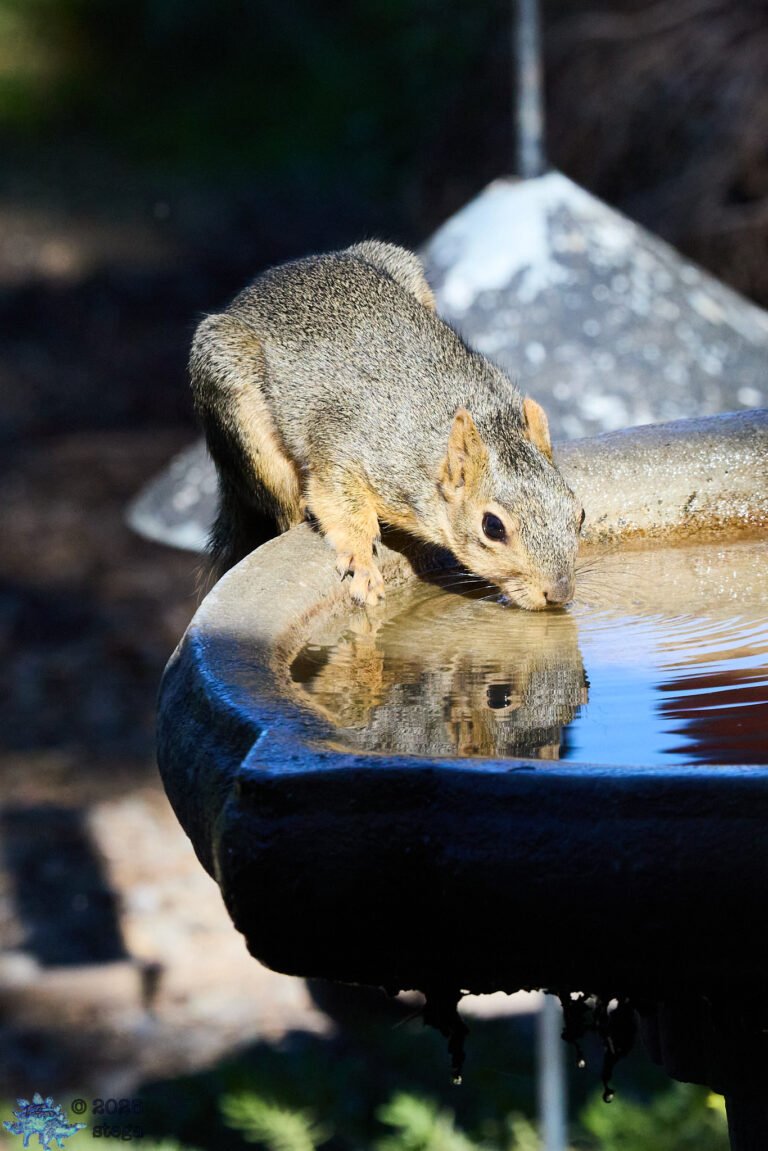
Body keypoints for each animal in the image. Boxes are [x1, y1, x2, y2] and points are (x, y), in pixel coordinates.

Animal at [190, 240, 583, 610]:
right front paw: (362, 564)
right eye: (493, 527)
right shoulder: (345, 449)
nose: (558, 593)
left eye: (579, 513)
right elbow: (340, 504)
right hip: (235, 395)